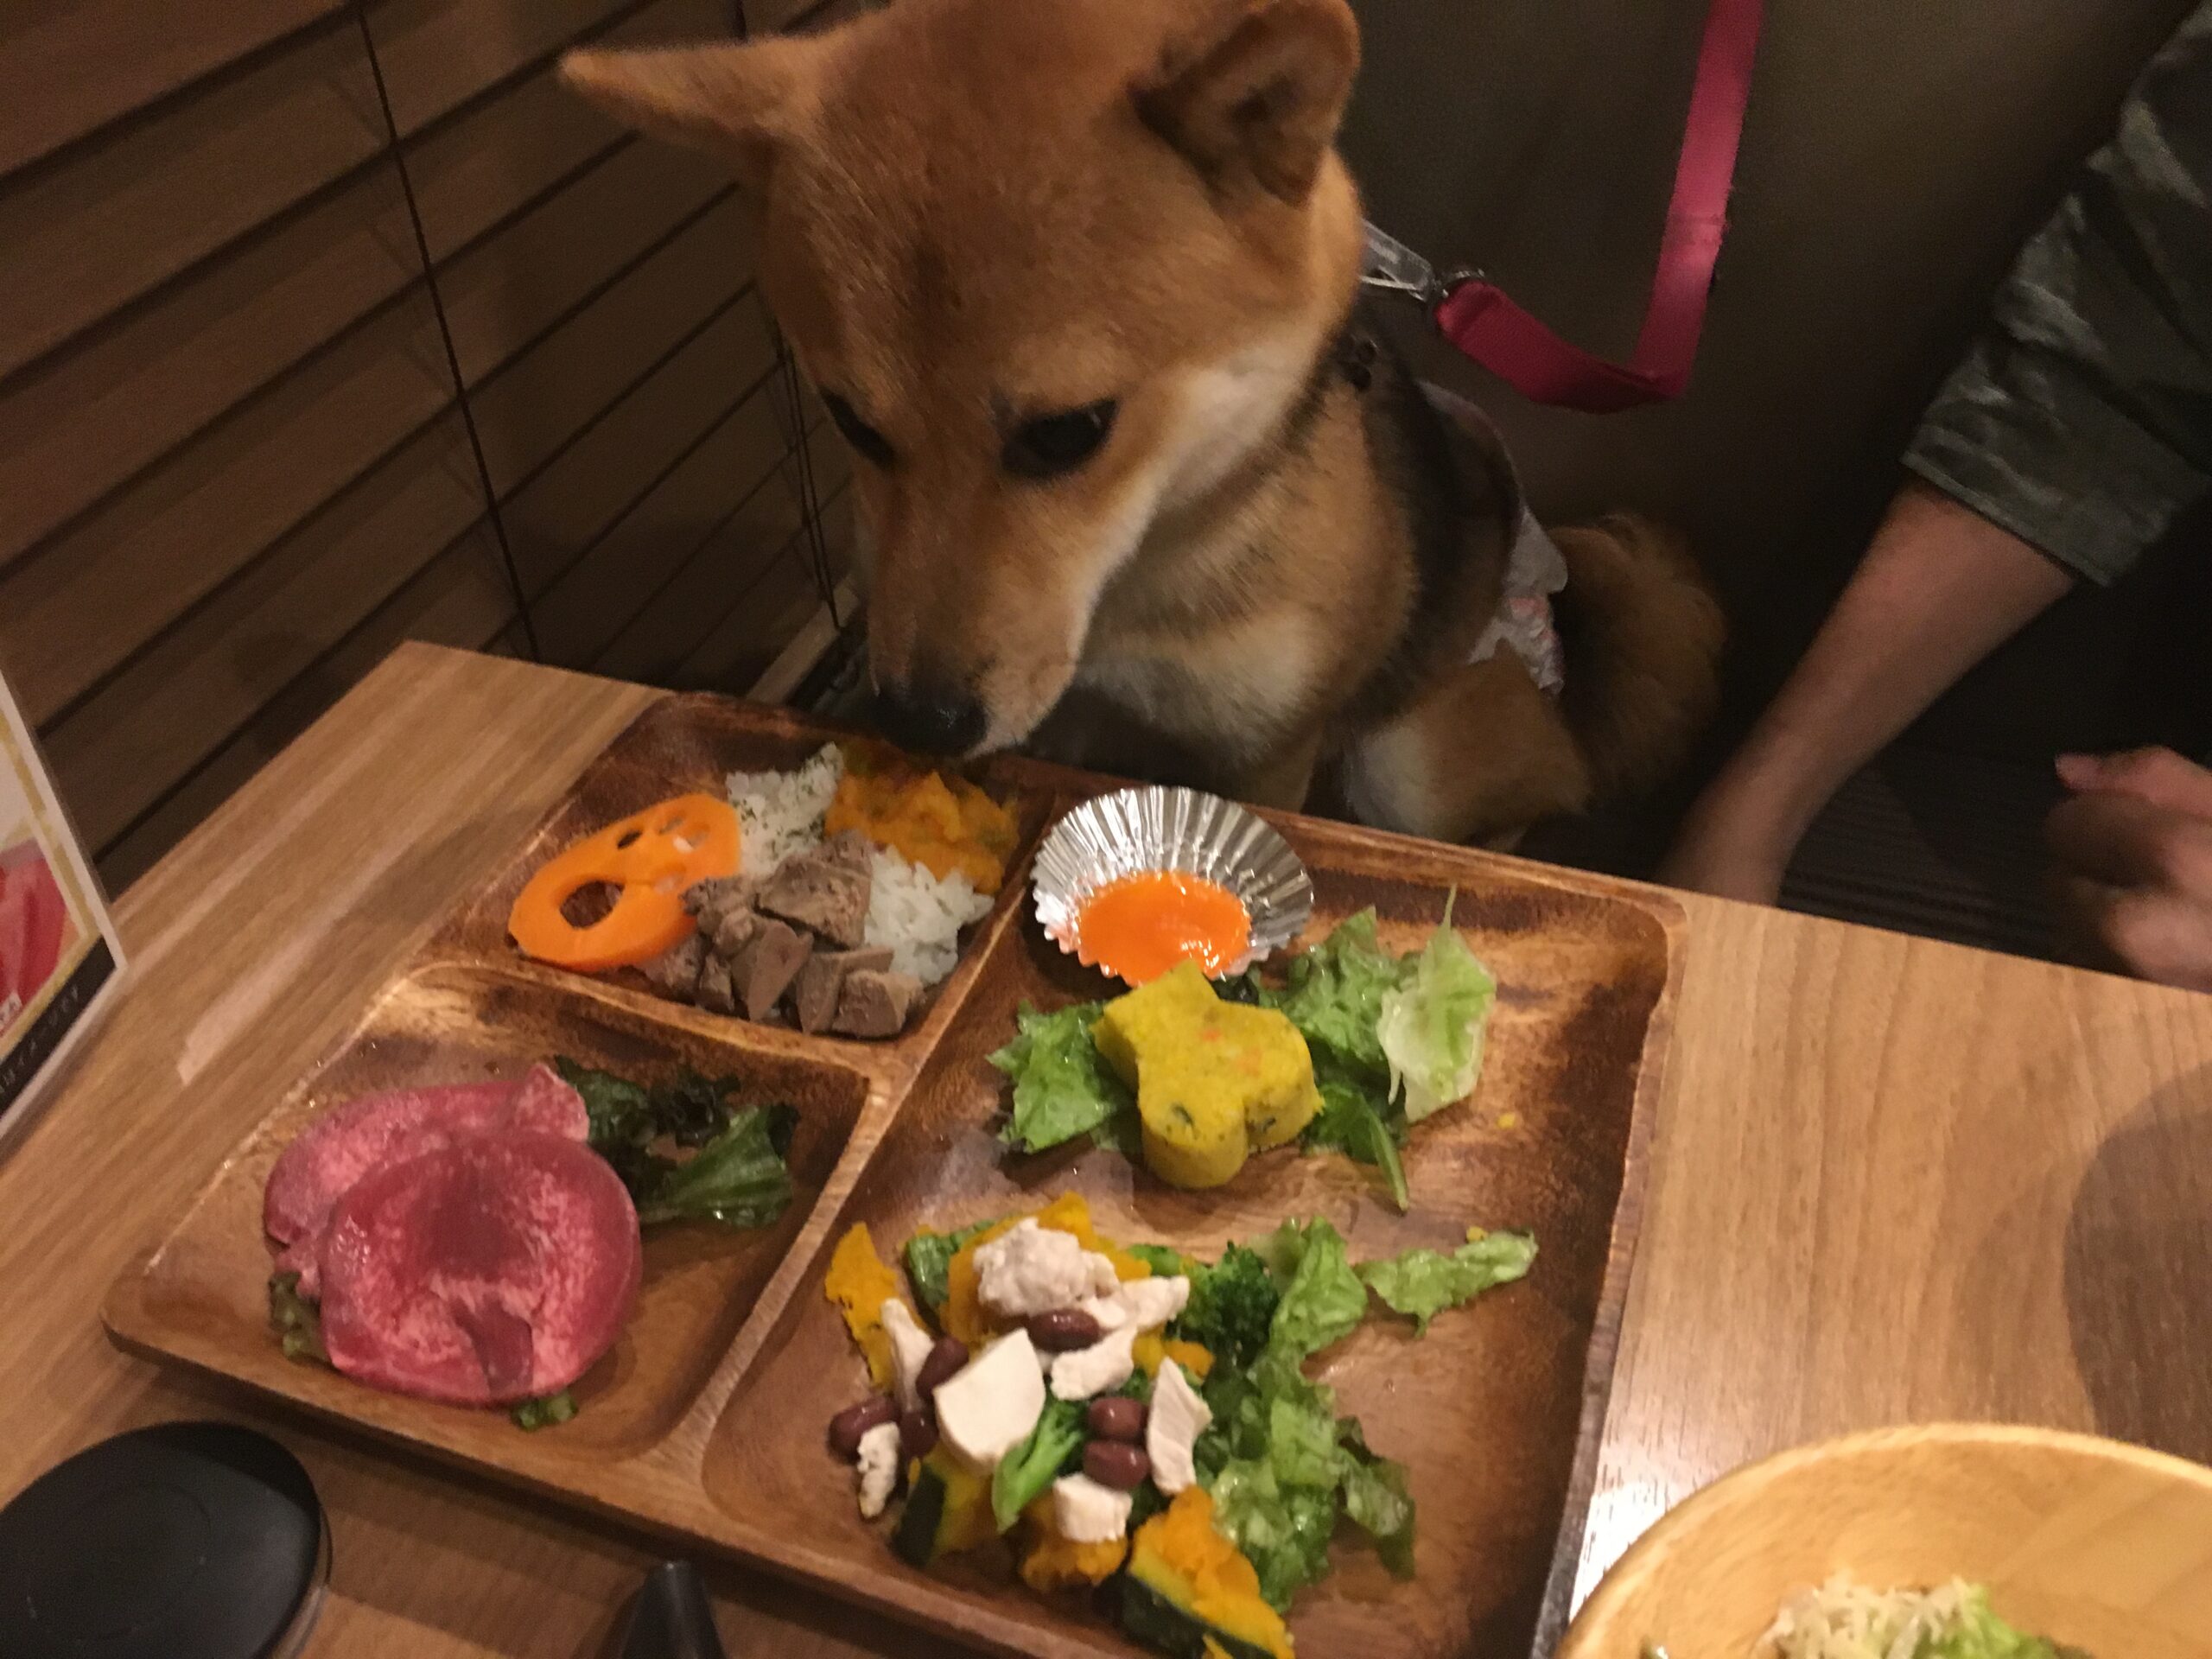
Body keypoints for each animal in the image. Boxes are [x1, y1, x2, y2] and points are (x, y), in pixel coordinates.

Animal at [562, 0, 1716, 844]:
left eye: (1068, 431)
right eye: (851, 422)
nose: (919, 721)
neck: (1129, 593)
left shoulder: (1268, 751)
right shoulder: (1057, 716)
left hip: (1410, 761)